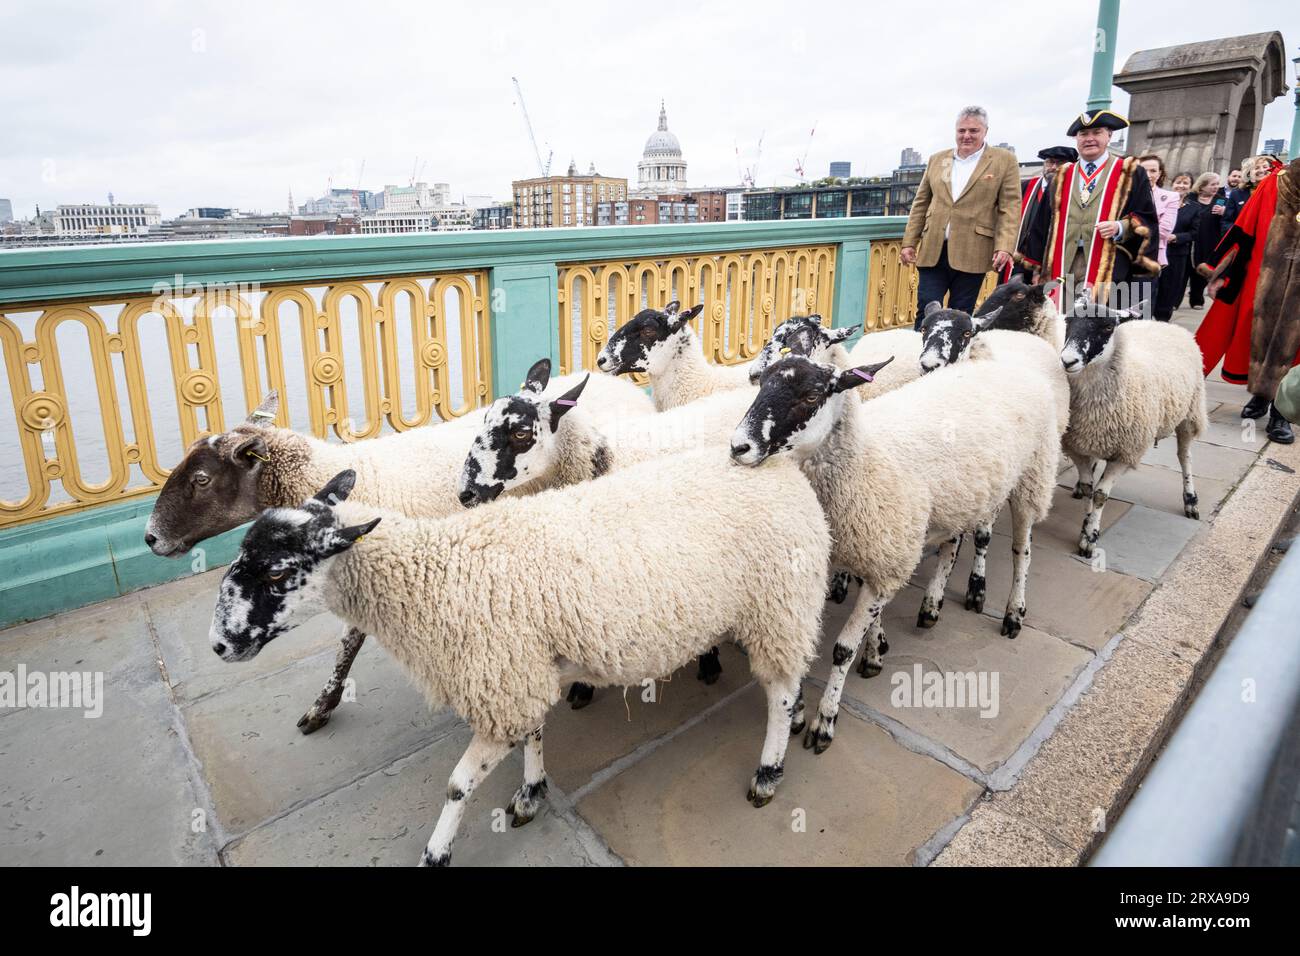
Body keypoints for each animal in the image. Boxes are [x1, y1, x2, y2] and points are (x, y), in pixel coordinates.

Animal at [206, 455, 826, 868]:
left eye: (279, 573)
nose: (217, 646)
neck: (434, 574)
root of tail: (785, 470)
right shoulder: (518, 671)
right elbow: (532, 733)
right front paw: (531, 791)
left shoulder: (501, 679)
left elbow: (457, 786)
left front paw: (436, 853)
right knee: (791, 678)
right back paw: (795, 720)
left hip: (778, 604)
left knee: (779, 690)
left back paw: (769, 770)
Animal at [733, 351, 1066, 754]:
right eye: (762, 382)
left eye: (812, 395)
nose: (738, 447)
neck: (864, 460)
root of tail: (1006, 363)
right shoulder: (880, 552)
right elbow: (873, 611)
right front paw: (876, 649)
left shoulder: (887, 553)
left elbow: (843, 649)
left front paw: (825, 721)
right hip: (961, 500)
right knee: (952, 546)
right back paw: (933, 606)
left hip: (1034, 473)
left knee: (1022, 550)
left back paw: (1013, 613)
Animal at [1055, 295, 1206, 556]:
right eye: (1068, 320)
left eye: (1107, 327)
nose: (1068, 361)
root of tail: (1161, 323)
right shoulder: (1076, 444)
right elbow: (1089, 487)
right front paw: (1086, 520)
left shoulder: (1126, 453)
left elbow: (1100, 495)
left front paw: (1089, 538)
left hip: (1189, 412)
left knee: (1185, 457)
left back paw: (1190, 500)